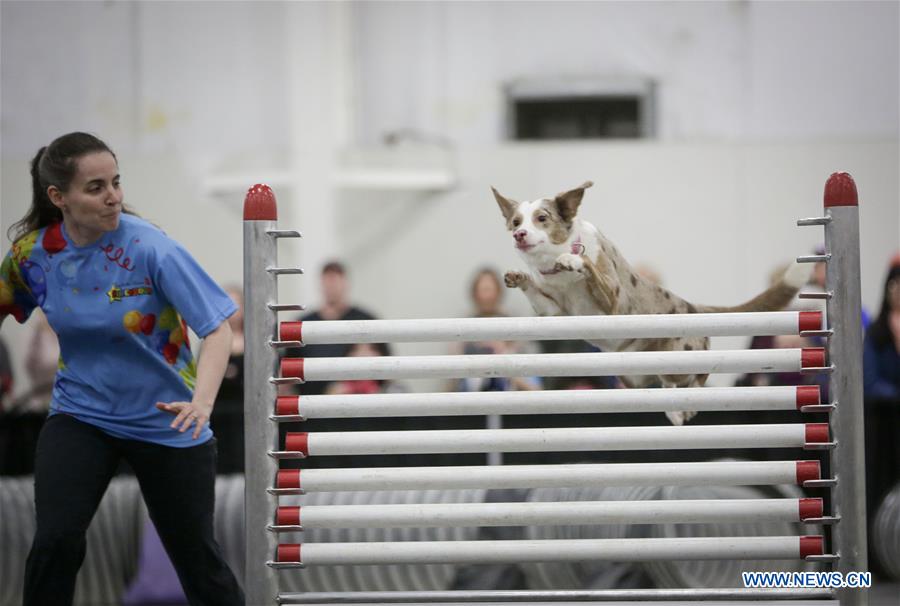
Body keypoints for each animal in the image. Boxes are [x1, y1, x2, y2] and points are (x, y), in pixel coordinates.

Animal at [496, 183, 812, 426]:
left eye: (542, 218)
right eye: (516, 222)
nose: (519, 235)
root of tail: (693, 308)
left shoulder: (613, 300)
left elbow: (586, 264)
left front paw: (572, 260)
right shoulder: (555, 311)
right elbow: (539, 292)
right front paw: (518, 275)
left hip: (682, 359)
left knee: (698, 379)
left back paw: (686, 406)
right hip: (633, 377)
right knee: (668, 385)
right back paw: (675, 410)